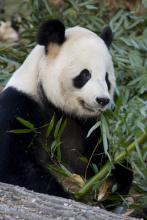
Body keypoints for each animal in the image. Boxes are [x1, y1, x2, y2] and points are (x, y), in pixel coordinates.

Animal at [0, 20, 133, 199]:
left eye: (106, 78)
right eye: (85, 75)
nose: (102, 100)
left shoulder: (90, 127)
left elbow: (101, 160)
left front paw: (111, 182)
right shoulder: (18, 106)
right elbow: (14, 166)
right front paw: (62, 192)